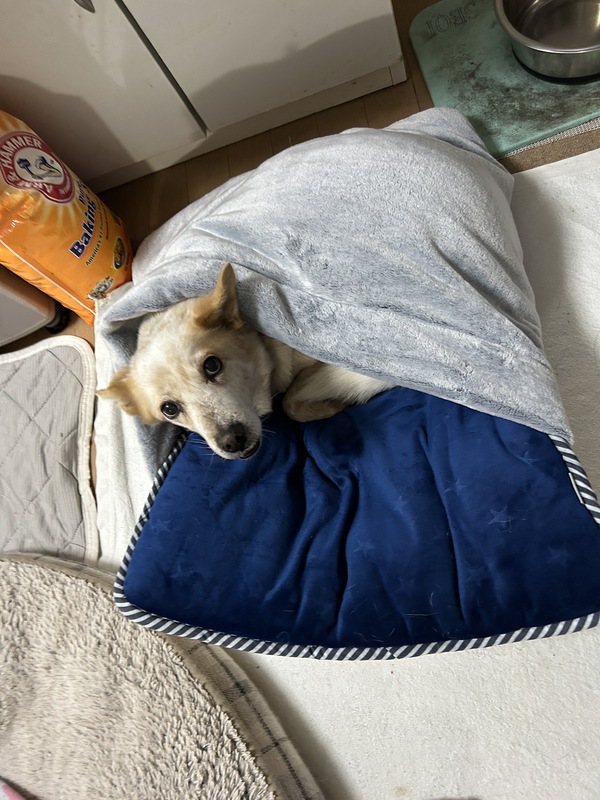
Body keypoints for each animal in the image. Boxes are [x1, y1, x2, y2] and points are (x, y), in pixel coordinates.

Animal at [98, 263, 391, 460]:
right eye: (169, 409)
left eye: (212, 365)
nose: (231, 441)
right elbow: (290, 402)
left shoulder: (353, 370)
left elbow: (290, 403)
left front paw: (331, 406)